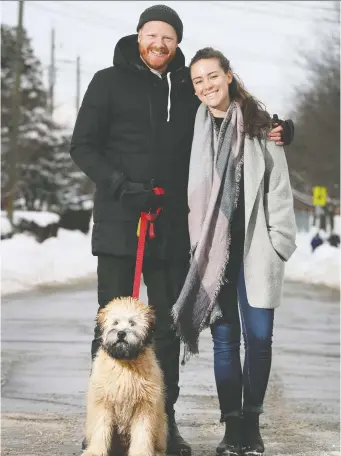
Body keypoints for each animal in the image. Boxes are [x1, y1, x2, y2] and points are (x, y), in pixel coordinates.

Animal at [83, 298, 167, 454]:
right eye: (115, 322)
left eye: (132, 323)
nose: (121, 333)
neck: (124, 362)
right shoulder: (103, 401)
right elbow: (101, 428)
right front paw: (95, 451)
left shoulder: (144, 404)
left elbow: (142, 432)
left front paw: (140, 452)